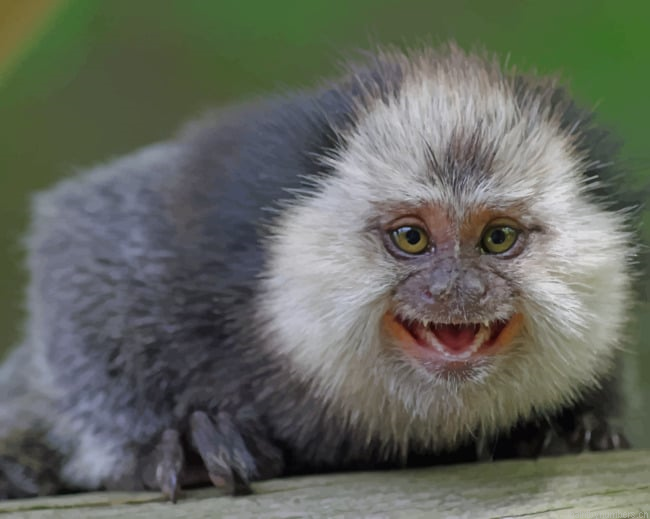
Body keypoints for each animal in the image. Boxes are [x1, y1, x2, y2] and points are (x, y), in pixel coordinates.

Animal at [0, 44, 638, 501]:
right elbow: (79, 240)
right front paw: (169, 446)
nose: (456, 290)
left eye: (498, 238)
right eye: (412, 238)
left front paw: (567, 429)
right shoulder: (196, 238)